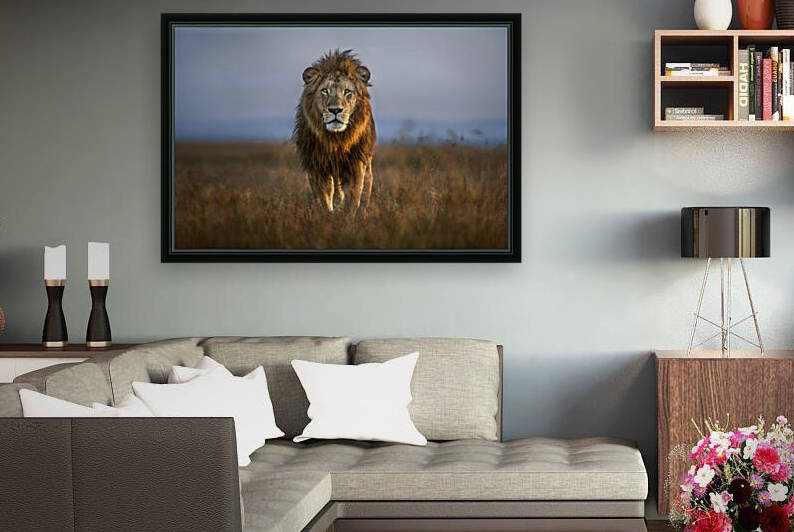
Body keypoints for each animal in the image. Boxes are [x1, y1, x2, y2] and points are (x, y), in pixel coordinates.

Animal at [294, 49, 376, 215]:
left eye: (347, 91)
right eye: (325, 91)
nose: (335, 110)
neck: (336, 139)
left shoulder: (356, 164)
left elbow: (352, 196)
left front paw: (343, 214)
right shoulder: (317, 166)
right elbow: (323, 197)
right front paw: (328, 214)